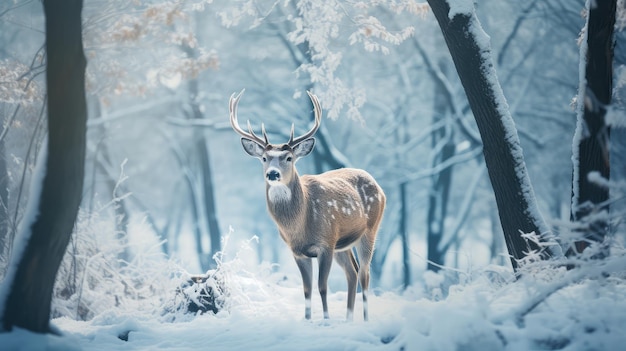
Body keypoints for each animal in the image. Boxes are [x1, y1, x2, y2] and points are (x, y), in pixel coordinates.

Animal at [229, 90, 386, 322]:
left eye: (289, 157)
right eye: (264, 158)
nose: (272, 174)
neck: (300, 224)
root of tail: (378, 186)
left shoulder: (326, 243)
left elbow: (322, 287)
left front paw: (326, 320)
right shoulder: (298, 251)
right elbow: (306, 289)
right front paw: (308, 320)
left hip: (369, 230)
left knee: (365, 273)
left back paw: (365, 320)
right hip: (343, 244)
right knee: (353, 272)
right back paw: (348, 319)